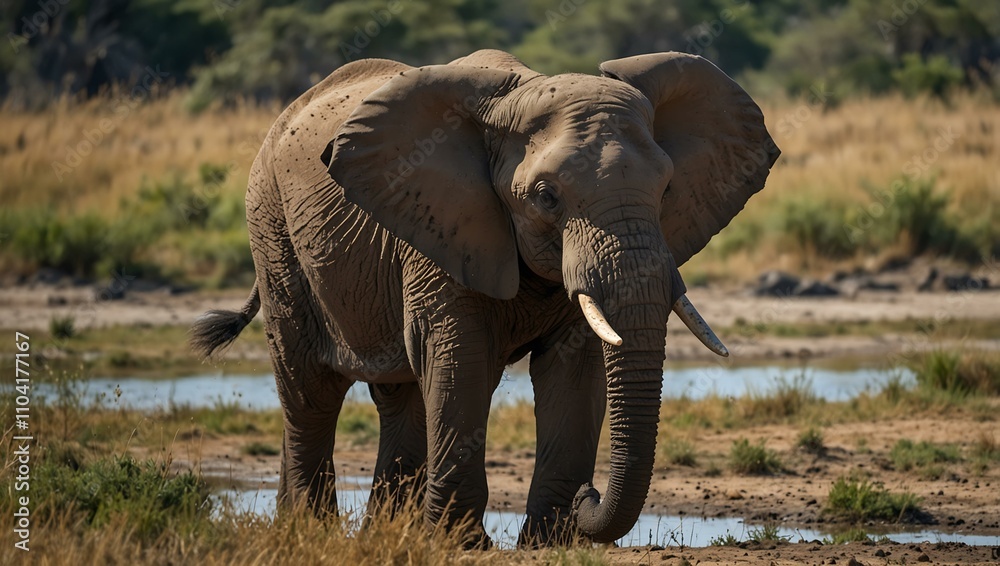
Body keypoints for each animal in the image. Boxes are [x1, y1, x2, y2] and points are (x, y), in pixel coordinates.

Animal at [190, 49, 779, 546]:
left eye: (666, 190)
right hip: (272, 230)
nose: (588, 496)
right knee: (310, 390)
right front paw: (460, 544)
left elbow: (576, 365)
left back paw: (382, 536)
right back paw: (309, 533)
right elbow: (460, 357)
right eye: (546, 196)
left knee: (400, 394)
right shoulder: (438, 227)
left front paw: (549, 544)